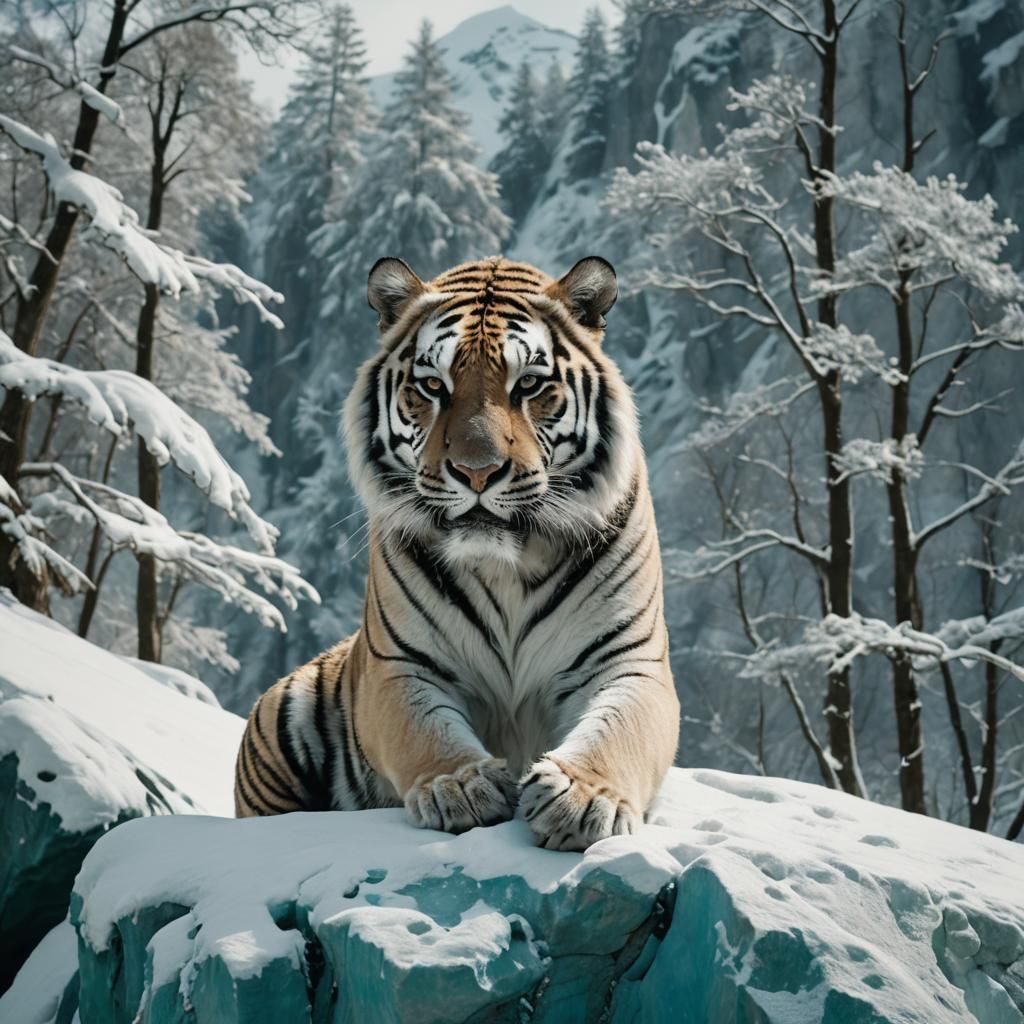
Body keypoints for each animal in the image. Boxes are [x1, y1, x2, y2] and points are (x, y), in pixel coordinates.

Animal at [234, 255, 680, 851]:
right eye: (432, 385)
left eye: (529, 384)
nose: (477, 471)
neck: (507, 565)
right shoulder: (399, 665)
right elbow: (423, 729)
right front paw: (461, 786)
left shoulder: (629, 661)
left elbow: (618, 732)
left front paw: (584, 800)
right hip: (282, 711)